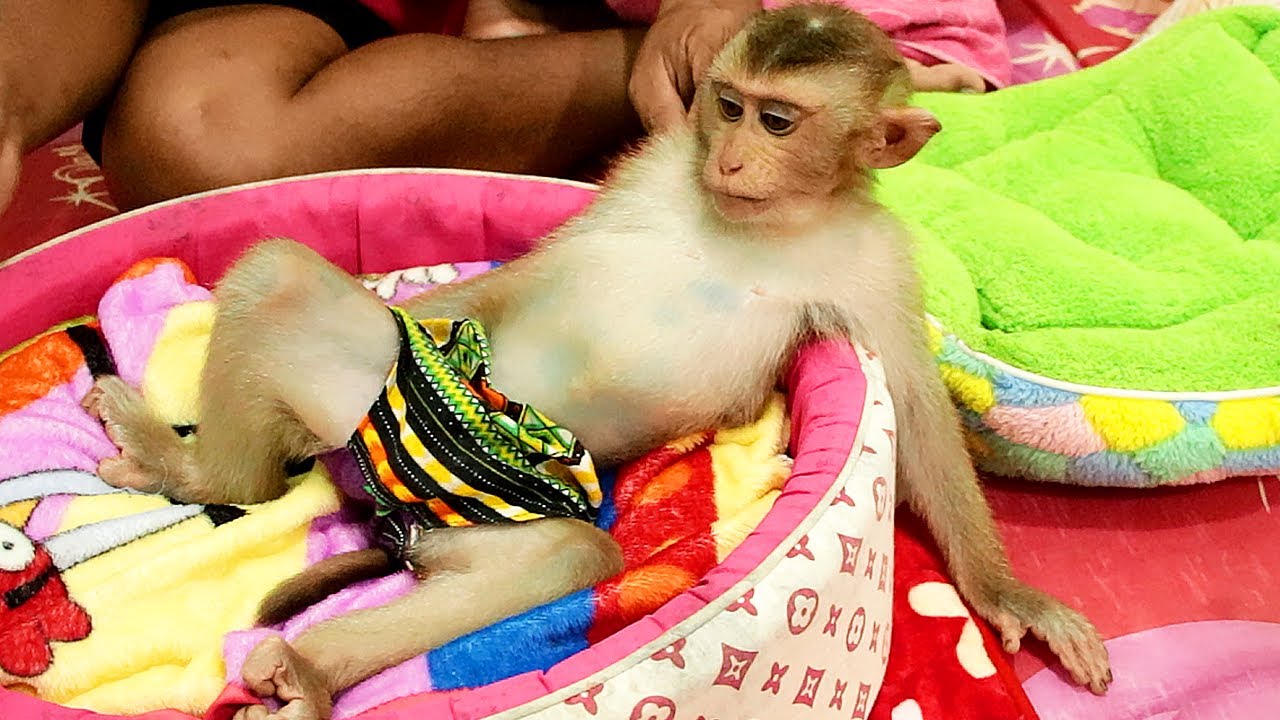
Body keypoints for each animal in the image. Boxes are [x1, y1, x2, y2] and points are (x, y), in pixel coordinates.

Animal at [82, 5, 1112, 719]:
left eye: (778, 123)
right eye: (729, 108)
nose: (731, 159)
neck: (765, 224)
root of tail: (391, 507)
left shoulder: (873, 262)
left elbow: (923, 411)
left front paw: (1008, 593)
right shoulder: (657, 167)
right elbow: (533, 268)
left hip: (485, 513)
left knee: (568, 552)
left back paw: (308, 663)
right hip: (370, 403)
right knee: (278, 282)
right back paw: (198, 472)